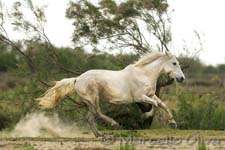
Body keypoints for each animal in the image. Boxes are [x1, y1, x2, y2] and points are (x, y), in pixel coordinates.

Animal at [37, 51, 185, 137]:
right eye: (174, 63)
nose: (182, 78)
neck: (143, 74)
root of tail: (77, 79)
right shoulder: (140, 97)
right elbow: (155, 105)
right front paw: (146, 116)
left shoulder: (150, 95)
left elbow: (163, 105)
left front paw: (173, 123)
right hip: (94, 98)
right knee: (97, 113)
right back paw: (114, 124)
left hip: (89, 102)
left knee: (90, 118)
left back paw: (100, 135)